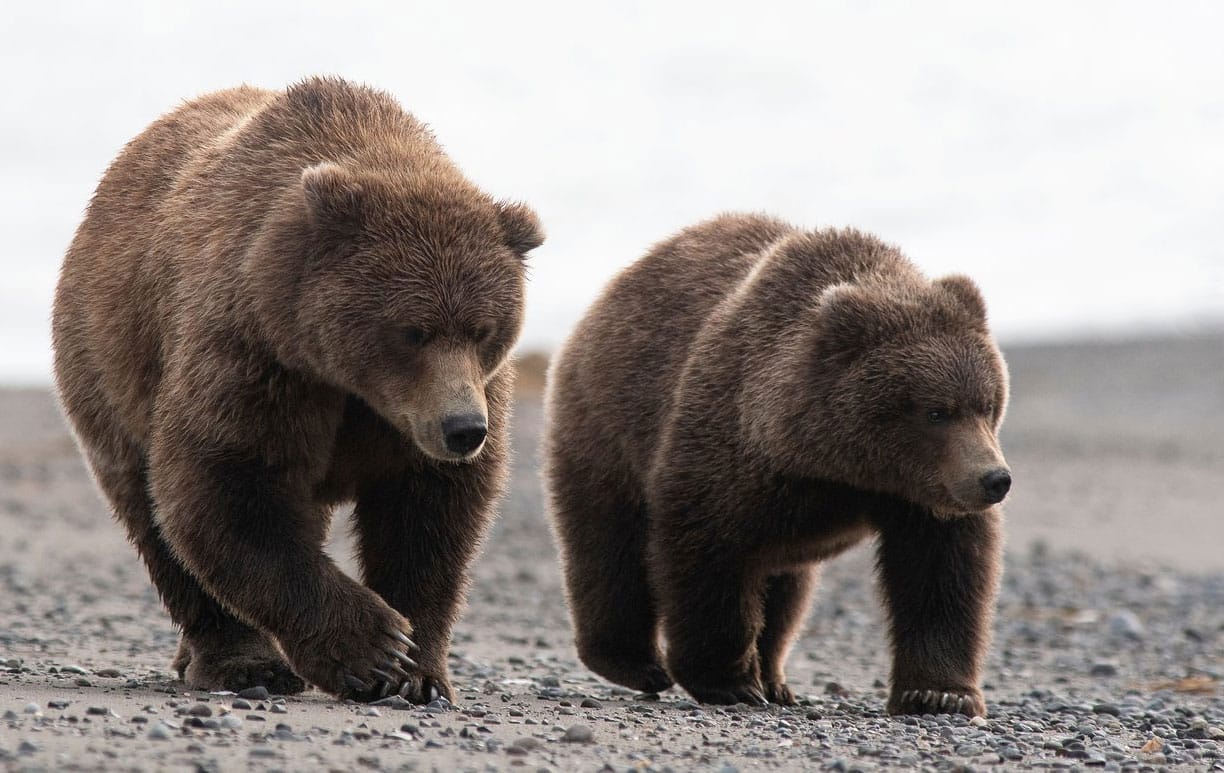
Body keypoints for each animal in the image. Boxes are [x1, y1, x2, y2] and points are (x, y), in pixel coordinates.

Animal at [52, 77, 541, 699]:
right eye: (414, 330)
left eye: (484, 329)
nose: (464, 429)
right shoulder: (257, 356)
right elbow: (225, 485)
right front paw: (375, 648)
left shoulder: (433, 410)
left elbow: (432, 515)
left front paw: (418, 672)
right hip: (110, 367)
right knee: (152, 517)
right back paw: (240, 661)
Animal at [550, 212, 1008, 719]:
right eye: (936, 411)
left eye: (987, 404)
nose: (994, 480)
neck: (829, 463)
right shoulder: (728, 448)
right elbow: (706, 553)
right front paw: (728, 681)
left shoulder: (916, 494)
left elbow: (941, 572)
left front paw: (940, 693)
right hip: (607, 427)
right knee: (610, 547)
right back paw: (635, 663)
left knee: (787, 590)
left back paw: (774, 678)